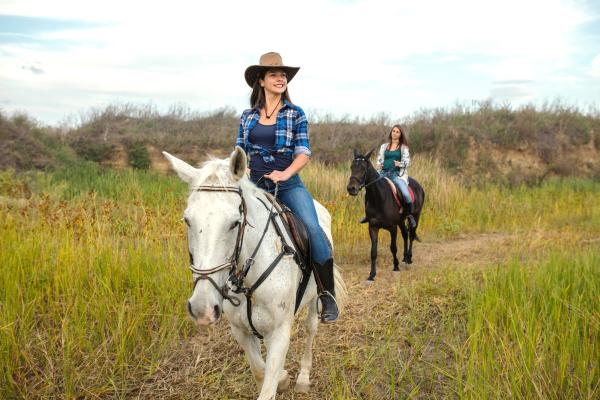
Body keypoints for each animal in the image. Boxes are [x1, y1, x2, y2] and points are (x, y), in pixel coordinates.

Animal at [164, 147, 346, 400]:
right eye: (187, 220)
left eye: (234, 223)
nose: (202, 309)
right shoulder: (241, 330)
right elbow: (260, 370)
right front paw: (282, 378)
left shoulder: (279, 332)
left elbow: (268, 387)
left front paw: (285, 379)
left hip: (314, 302)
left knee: (310, 330)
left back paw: (303, 378)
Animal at [344, 148, 424, 282]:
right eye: (351, 167)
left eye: (363, 168)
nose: (351, 188)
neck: (379, 198)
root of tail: (418, 186)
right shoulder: (373, 227)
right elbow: (373, 252)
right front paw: (371, 275)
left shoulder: (392, 228)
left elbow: (393, 247)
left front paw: (396, 266)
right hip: (401, 221)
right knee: (405, 234)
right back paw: (405, 257)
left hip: (416, 216)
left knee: (411, 235)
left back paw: (408, 259)